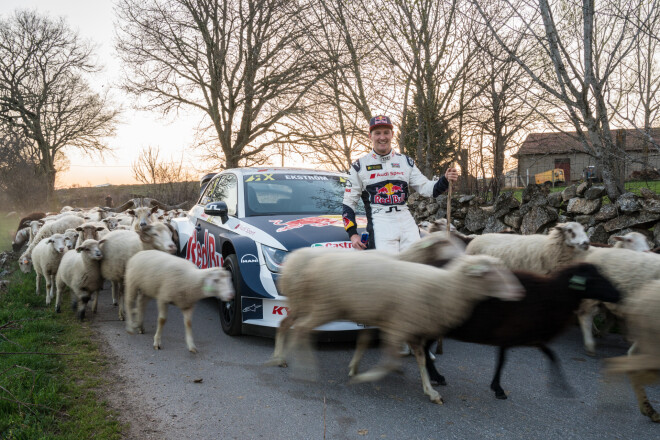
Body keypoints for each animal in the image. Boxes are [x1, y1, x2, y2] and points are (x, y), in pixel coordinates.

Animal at [276, 249, 524, 404]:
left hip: (314, 305)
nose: (519, 292)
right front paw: (365, 377)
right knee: (300, 329)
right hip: (322, 306)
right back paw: (302, 368)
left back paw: (284, 358)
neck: (444, 288)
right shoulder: (399, 327)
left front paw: (431, 391)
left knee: (288, 325)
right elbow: (389, 361)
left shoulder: (411, 329)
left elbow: (420, 360)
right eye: (490, 273)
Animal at [426, 262, 620, 400]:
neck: (550, 297)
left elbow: (552, 356)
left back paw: (435, 376)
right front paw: (498, 389)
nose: (619, 294)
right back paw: (436, 376)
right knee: (424, 349)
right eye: (594, 279)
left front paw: (564, 387)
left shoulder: (531, 337)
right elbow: (502, 361)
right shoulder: (508, 334)